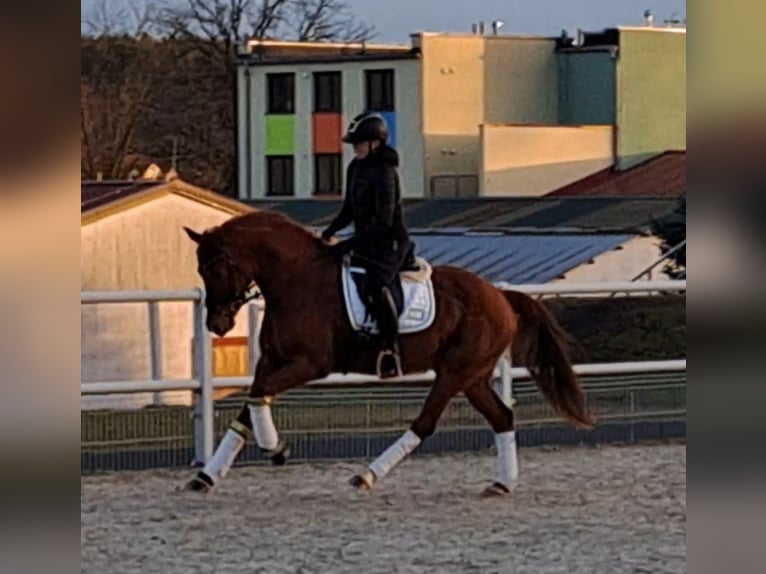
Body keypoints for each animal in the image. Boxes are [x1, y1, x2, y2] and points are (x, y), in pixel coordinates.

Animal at [183, 212, 596, 500]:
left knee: (425, 423)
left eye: (216, 268)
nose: (217, 324)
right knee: (502, 417)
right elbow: (251, 405)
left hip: (454, 374)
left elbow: (257, 396)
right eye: (200, 269)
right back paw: (502, 484)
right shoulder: (272, 361)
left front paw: (276, 448)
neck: (295, 280)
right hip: (473, 377)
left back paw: (368, 475)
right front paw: (206, 477)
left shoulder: (308, 364)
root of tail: (499, 295)